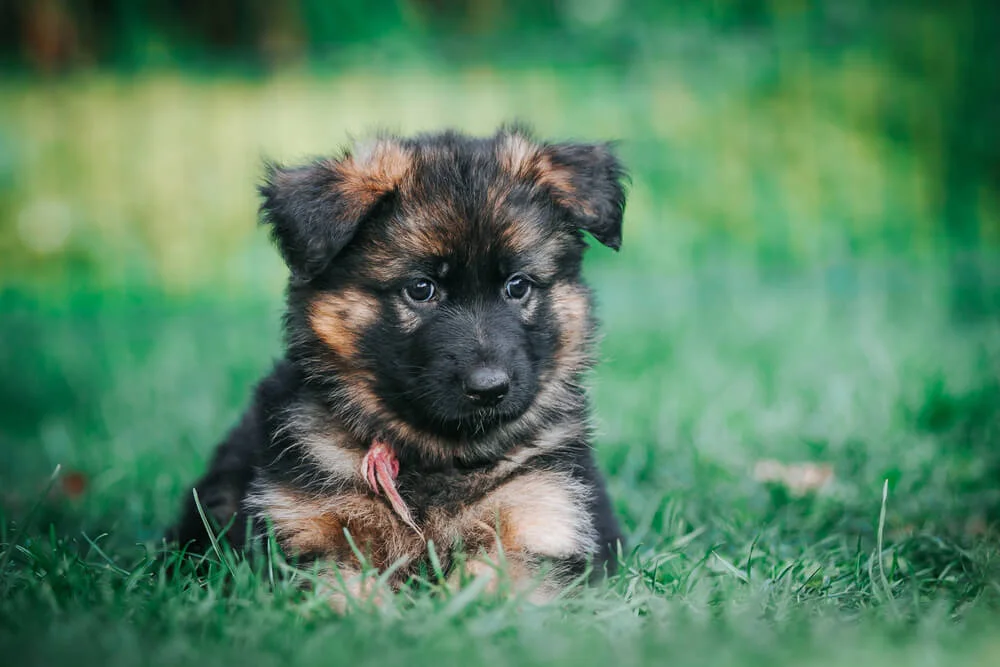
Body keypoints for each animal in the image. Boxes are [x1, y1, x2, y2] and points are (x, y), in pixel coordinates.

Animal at [169, 126, 628, 604]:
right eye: (421, 288)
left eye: (517, 285)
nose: (489, 388)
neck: (437, 453)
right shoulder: (308, 534)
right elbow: (342, 593)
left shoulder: (538, 517)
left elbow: (491, 586)